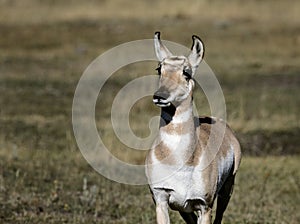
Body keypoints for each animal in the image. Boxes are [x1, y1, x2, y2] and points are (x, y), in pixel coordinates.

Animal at [145, 32, 241, 224]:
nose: (160, 96)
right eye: (159, 69)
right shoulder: (161, 200)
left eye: (186, 72)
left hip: (227, 190)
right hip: (184, 209)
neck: (179, 160)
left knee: (220, 216)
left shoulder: (204, 207)